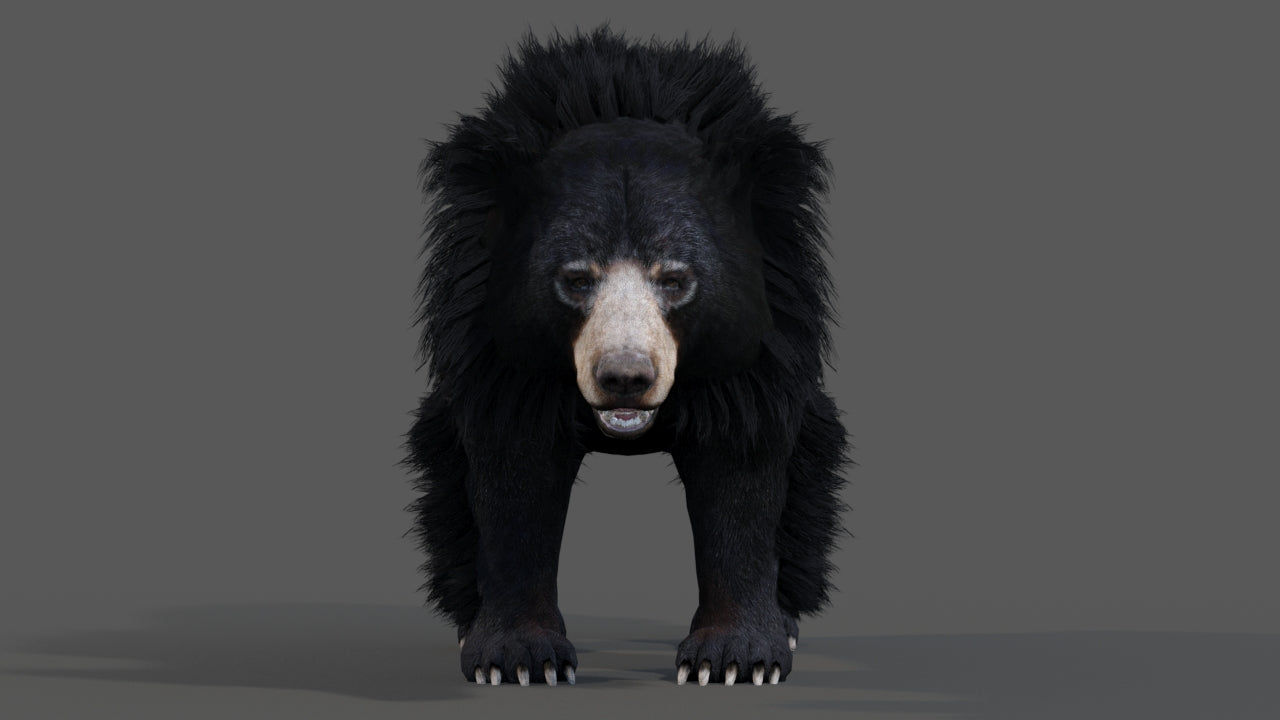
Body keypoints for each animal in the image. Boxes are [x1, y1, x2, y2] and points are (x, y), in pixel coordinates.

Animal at [406, 27, 848, 687]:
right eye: (575, 278)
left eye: (676, 279)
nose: (624, 379)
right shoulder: (499, 356)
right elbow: (512, 475)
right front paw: (519, 661)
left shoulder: (756, 351)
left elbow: (743, 473)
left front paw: (735, 660)